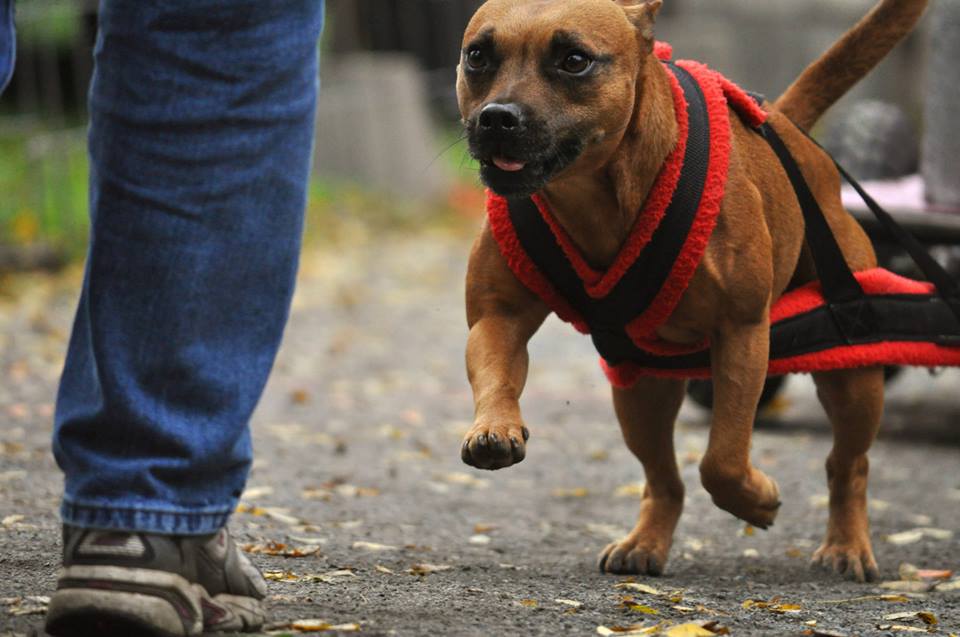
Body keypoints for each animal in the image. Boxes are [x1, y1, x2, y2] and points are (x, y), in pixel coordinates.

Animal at [458, 0, 928, 580]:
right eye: (478, 56)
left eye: (574, 60)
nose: (497, 117)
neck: (593, 195)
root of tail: (789, 129)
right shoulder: (496, 318)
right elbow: (496, 374)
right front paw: (495, 427)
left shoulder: (742, 333)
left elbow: (722, 458)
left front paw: (756, 499)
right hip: (641, 392)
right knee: (663, 478)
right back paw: (646, 541)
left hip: (852, 368)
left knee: (849, 463)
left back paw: (846, 544)